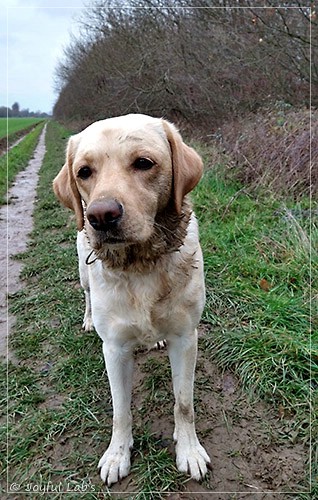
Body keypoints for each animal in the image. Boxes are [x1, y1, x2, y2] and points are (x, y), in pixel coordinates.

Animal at [53, 112, 210, 484]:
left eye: (143, 163)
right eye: (84, 172)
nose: (100, 216)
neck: (140, 266)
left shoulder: (186, 337)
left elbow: (184, 403)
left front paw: (189, 450)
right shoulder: (114, 348)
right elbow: (120, 410)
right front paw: (117, 455)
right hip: (83, 270)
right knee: (86, 294)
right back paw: (86, 319)